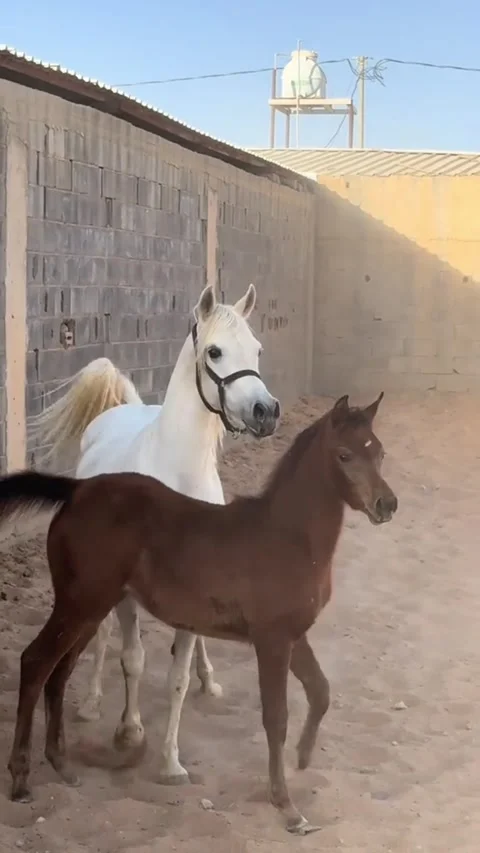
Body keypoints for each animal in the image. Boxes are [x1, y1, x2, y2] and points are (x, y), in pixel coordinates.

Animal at [2, 392, 397, 834]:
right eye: (345, 455)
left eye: (379, 453)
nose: (387, 505)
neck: (289, 538)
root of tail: (78, 489)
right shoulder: (272, 640)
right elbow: (276, 717)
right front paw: (286, 806)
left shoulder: (294, 635)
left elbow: (321, 691)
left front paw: (303, 757)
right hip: (80, 603)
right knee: (36, 663)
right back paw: (21, 779)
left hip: (89, 608)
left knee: (59, 673)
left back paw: (63, 765)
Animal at [30, 282, 280, 784]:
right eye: (214, 351)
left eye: (258, 349)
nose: (266, 412)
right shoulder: (126, 595)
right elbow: (133, 659)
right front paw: (129, 731)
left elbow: (177, 676)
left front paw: (170, 761)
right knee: (103, 634)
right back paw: (91, 703)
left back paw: (209, 679)